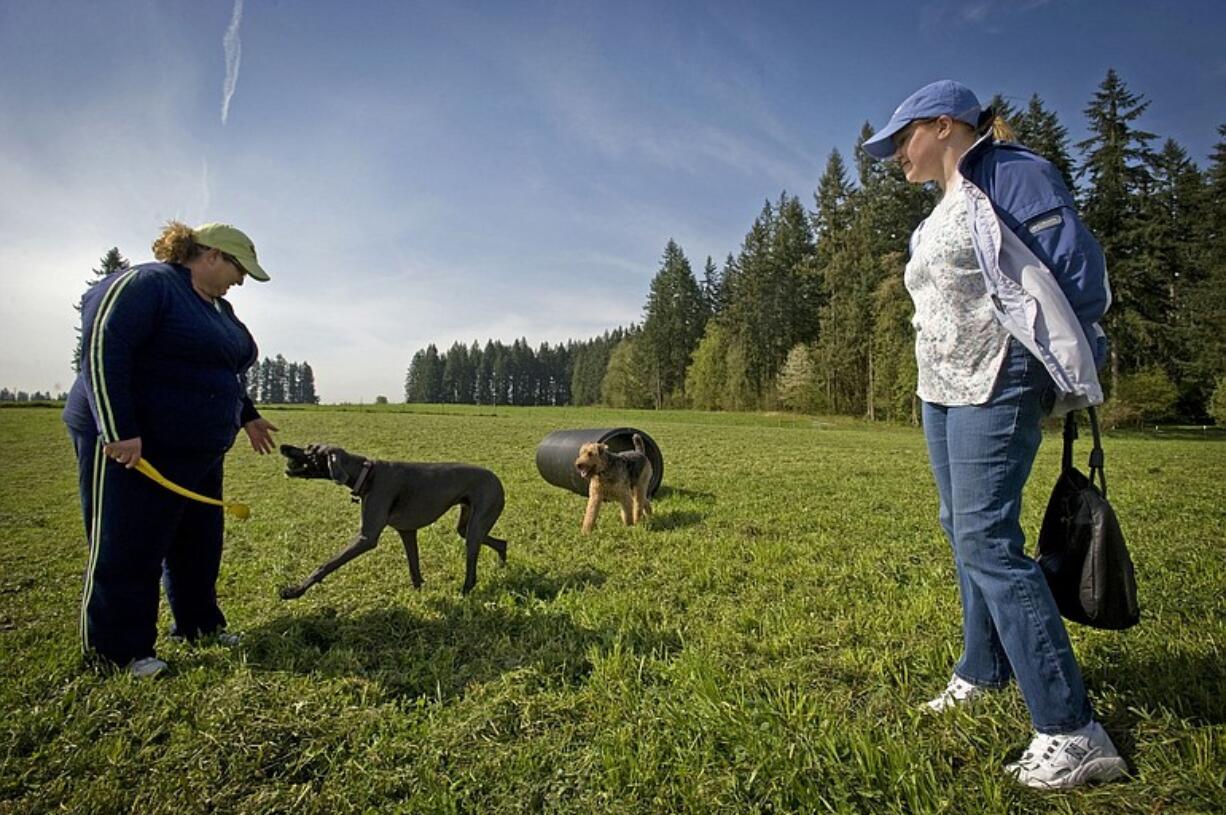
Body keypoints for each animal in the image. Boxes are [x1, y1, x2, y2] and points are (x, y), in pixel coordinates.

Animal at [280, 446, 505, 598]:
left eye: (310, 450)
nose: (283, 446)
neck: (366, 472)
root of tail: (497, 480)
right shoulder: (407, 531)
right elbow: (414, 567)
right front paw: (419, 593)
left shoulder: (366, 538)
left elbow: (326, 565)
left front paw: (294, 591)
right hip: (467, 525)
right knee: (500, 542)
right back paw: (502, 564)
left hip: (477, 524)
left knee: (472, 568)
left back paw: (465, 592)